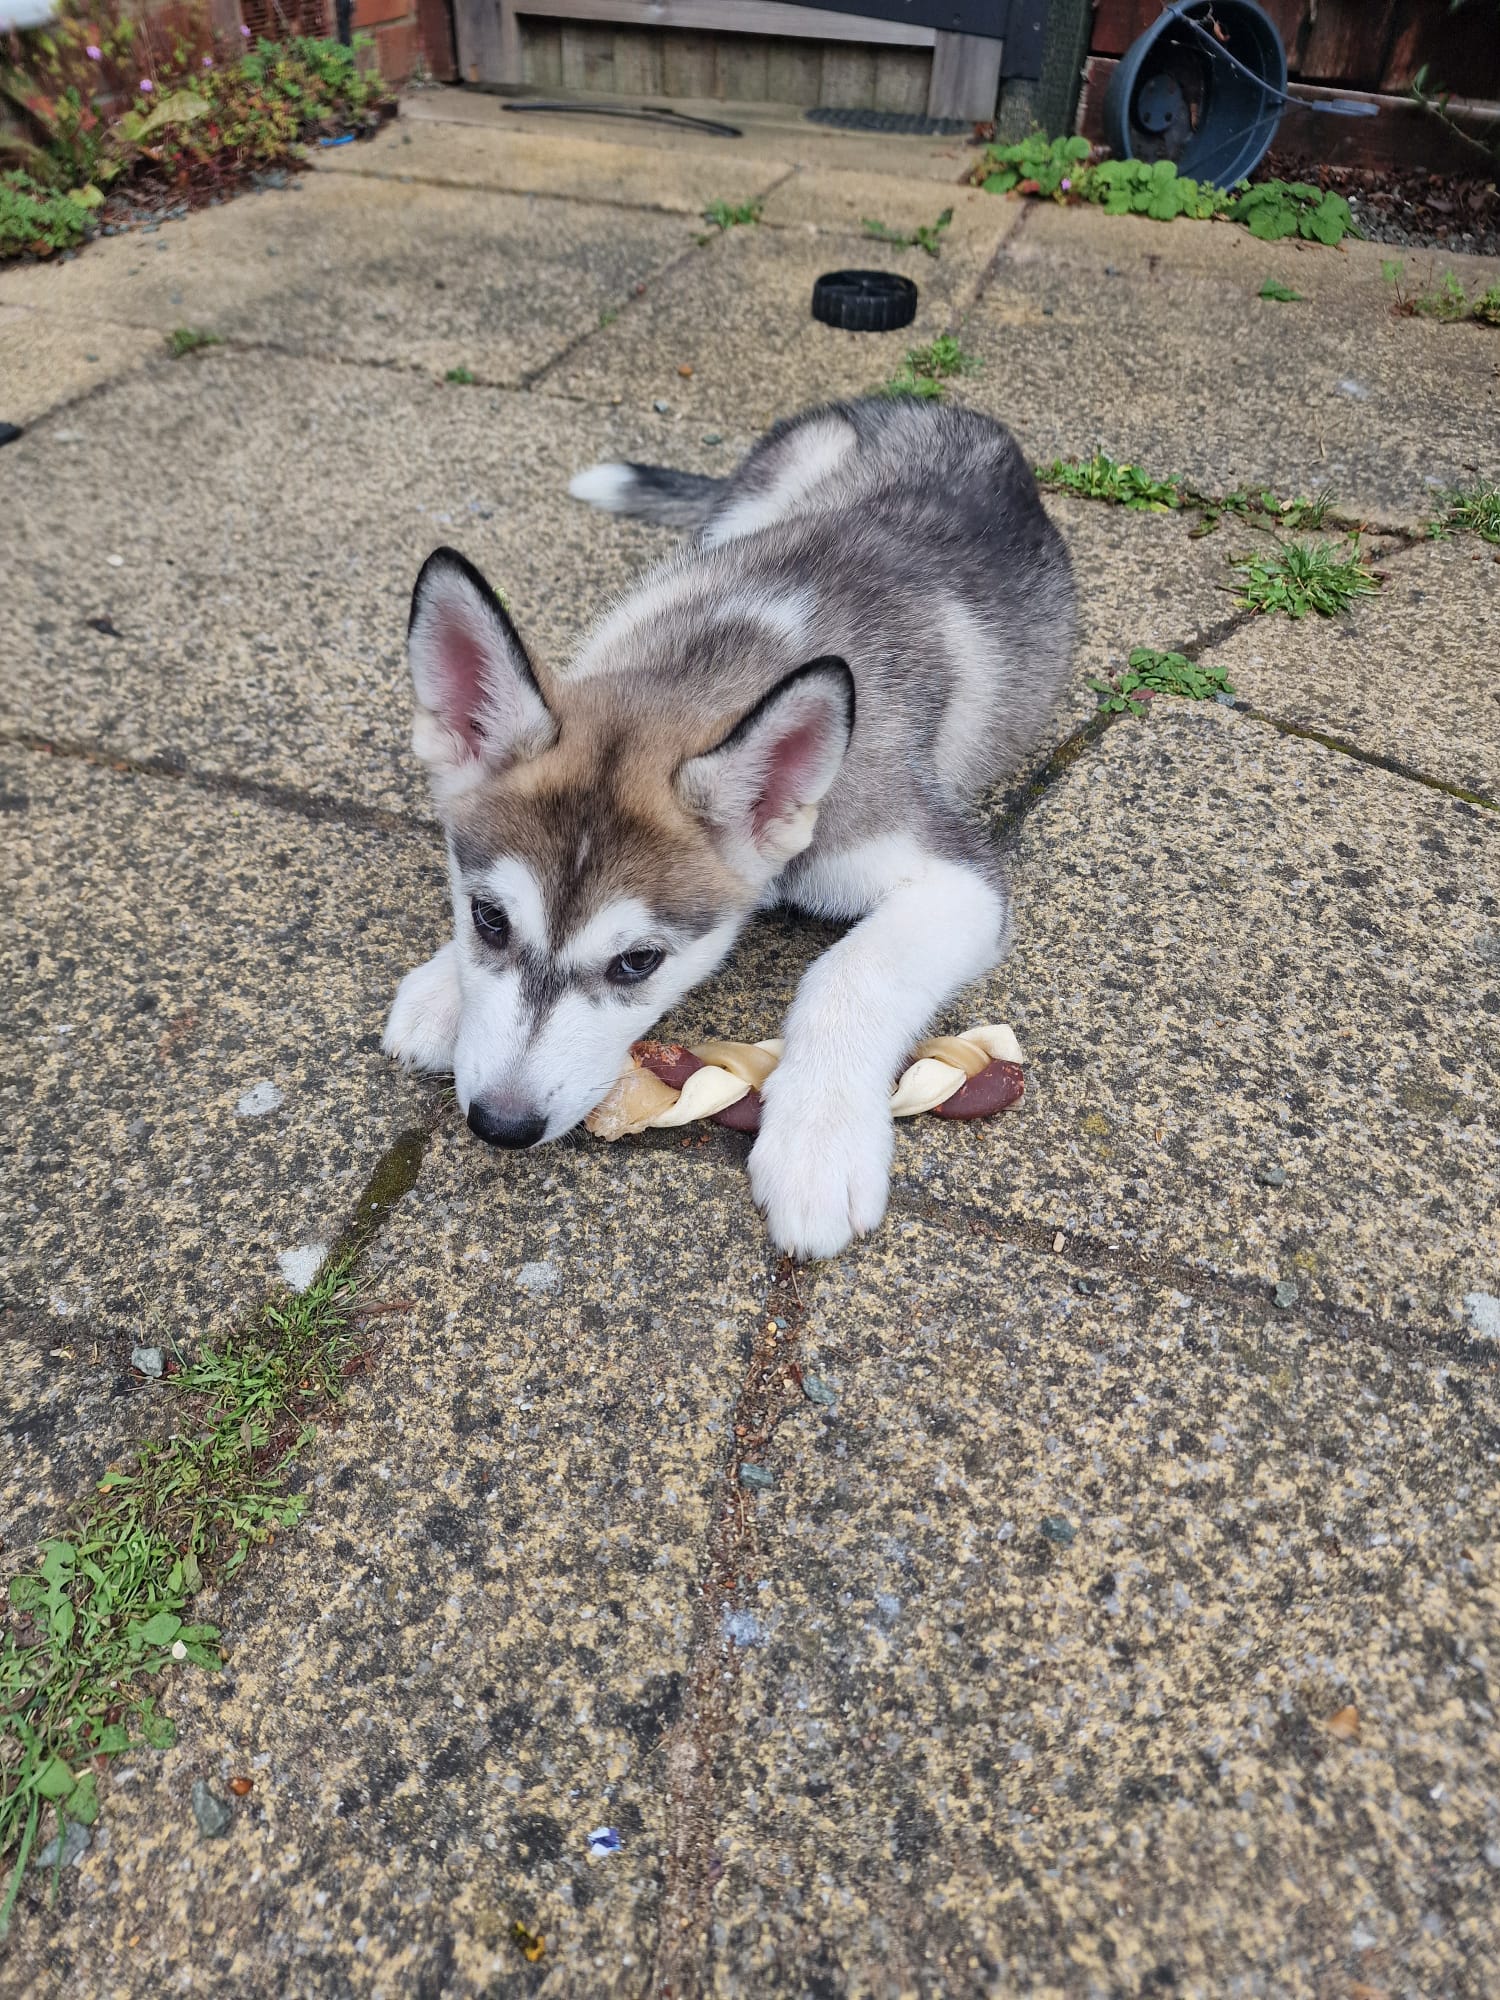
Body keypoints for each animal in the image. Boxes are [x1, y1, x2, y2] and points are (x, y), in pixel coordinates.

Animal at [382, 398, 1072, 1256]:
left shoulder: (954, 876)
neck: (724, 656)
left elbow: (850, 973)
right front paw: (444, 989)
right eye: (488, 919)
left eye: (638, 963)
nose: (501, 1124)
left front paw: (818, 1142)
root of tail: (943, 404)